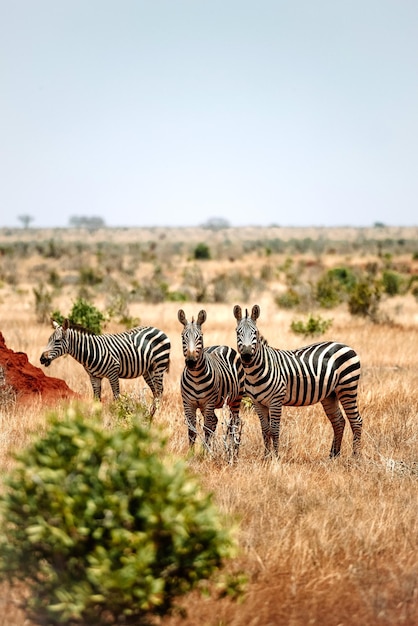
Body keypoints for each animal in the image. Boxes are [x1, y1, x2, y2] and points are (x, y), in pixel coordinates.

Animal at [39, 316, 170, 414]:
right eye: (48, 340)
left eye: (57, 341)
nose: (41, 359)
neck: (90, 352)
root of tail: (158, 329)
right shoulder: (94, 377)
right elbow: (96, 399)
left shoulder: (113, 373)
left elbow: (116, 397)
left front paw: (119, 417)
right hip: (148, 370)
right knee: (155, 391)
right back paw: (151, 412)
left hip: (159, 366)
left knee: (160, 390)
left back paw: (155, 414)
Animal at [177, 308, 245, 458]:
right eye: (183, 337)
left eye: (200, 337)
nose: (191, 362)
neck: (196, 377)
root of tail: (222, 346)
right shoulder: (188, 403)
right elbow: (192, 430)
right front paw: (192, 454)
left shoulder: (208, 403)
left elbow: (207, 428)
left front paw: (205, 453)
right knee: (215, 421)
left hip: (236, 399)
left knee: (234, 422)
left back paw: (234, 450)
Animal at [233, 304, 360, 456]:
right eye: (238, 332)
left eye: (255, 333)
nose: (246, 356)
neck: (255, 372)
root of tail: (345, 345)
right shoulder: (257, 402)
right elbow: (265, 430)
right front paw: (266, 456)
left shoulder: (276, 400)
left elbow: (274, 430)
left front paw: (276, 457)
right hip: (330, 394)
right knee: (339, 421)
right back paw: (333, 455)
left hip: (347, 387)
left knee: (356, 421)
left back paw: (355, 457)